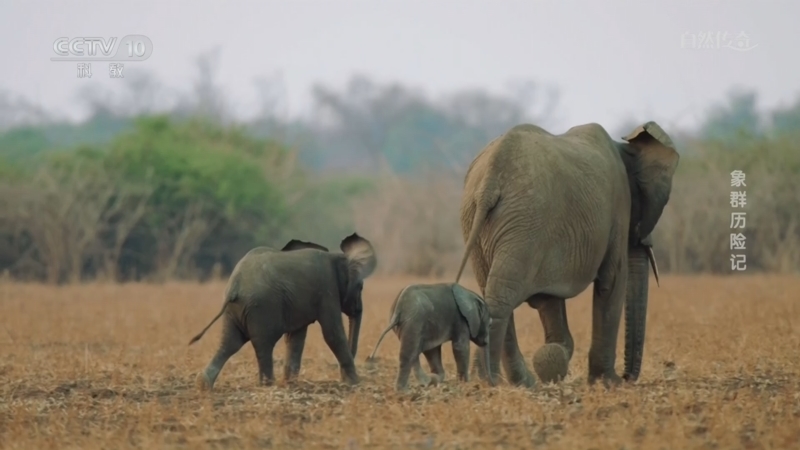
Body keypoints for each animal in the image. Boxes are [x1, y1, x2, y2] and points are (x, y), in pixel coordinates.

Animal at [188, 233, 377, 390]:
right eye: (360, 287)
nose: (343, 378)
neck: (338, 257)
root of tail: (235, 286)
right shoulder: (327, 289)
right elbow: (332, 333)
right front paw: (355, 383)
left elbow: (295, 338)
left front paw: (290, 383)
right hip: (261, 307)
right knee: (263, 344)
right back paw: (267, 384)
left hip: (236, 310)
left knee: (231, 342)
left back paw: (202, 383)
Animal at [454, 121, 677, 388]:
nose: (627, 377)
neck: (624, 146)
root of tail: (490, 178)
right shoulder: (618, 208)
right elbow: (611, 282)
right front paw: (607, 382)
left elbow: (548, 298)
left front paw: (555, 359)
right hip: (525, 221)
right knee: (503, 294)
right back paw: (487, 381)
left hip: (484, 222)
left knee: (492, 291)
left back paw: (520, 383)